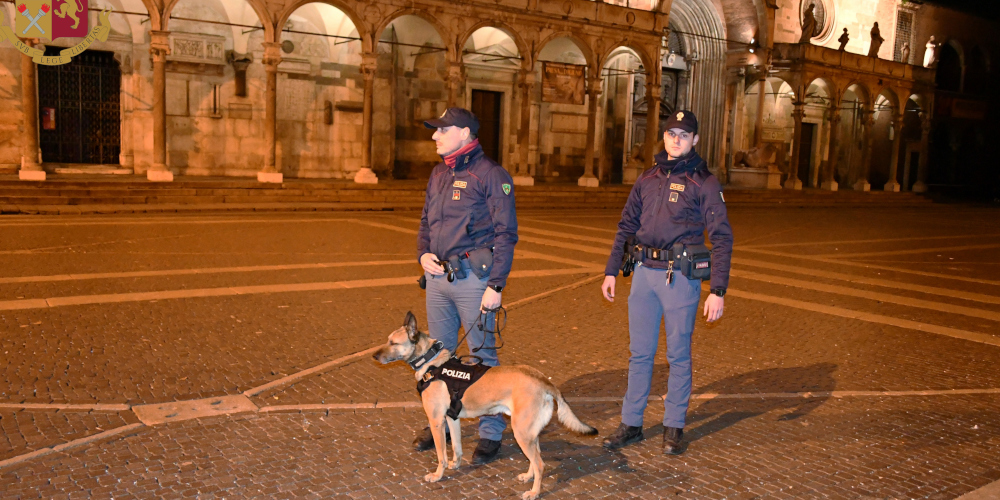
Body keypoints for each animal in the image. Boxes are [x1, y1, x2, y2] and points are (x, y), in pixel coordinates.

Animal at [374, 310, 592, 498]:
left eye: (393, 342)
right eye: (387, 340)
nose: (374, 356)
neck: (431, 364)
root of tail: (543, 380)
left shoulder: (436, 421)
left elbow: (441, 455)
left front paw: (437, 475)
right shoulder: (451, 418)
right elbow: (457, 447)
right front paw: (456, 464)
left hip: (521, 431)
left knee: (540, 464)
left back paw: (534, 492)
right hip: (528, 432)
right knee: (535, 457)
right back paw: (528, 477)